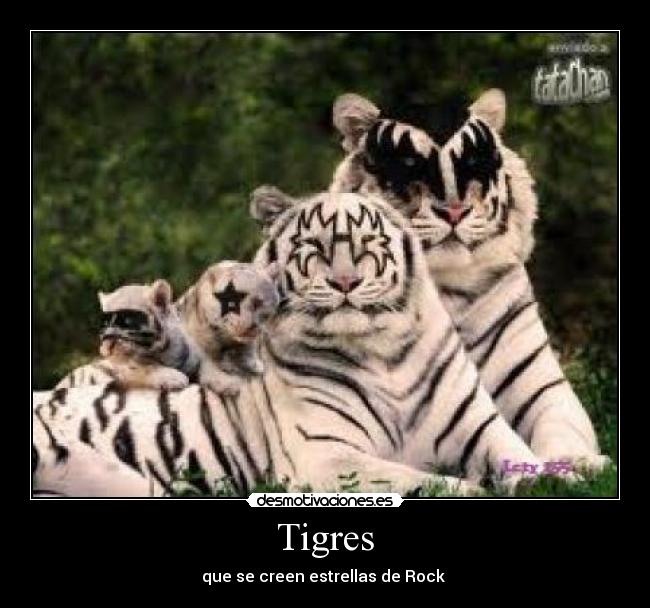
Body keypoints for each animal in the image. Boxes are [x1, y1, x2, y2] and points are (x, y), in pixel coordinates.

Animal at [33, 192, 546, 497]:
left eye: (366, 244)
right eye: (314, 248)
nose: (345, 282)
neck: (382, 354)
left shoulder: (481, 428)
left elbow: (529, 463)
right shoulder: (325, 455)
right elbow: (425, 482)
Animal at [248, 90, 611, 474]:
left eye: (472, 162)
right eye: (409, 164)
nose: (454, 210)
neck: (444, 287)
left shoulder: (544, 387)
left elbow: (561, 428)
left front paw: (584, 463)